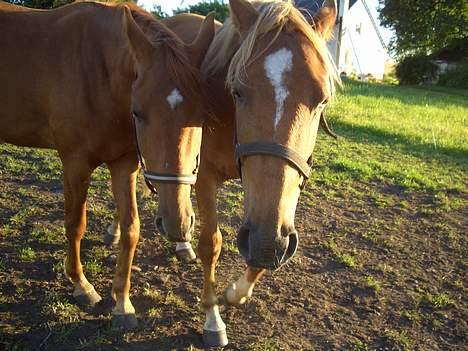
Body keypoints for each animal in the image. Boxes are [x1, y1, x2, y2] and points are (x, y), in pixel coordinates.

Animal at [0, 0, 215, 330]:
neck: (96, 70)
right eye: (138, 113)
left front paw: (122, 303)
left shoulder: (123, 164)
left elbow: (131, 229)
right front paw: (82, 285)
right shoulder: (75, 163)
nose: (177, 225)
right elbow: (75, 224)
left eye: (202, 115)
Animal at [161, 0, 340, 346]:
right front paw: (213, 318)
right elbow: (212, 243)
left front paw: (236, 294)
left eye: (322, 100)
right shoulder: (206, 179)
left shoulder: (274, 204)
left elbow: (265, 248)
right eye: (238, 92)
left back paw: (181, 244)